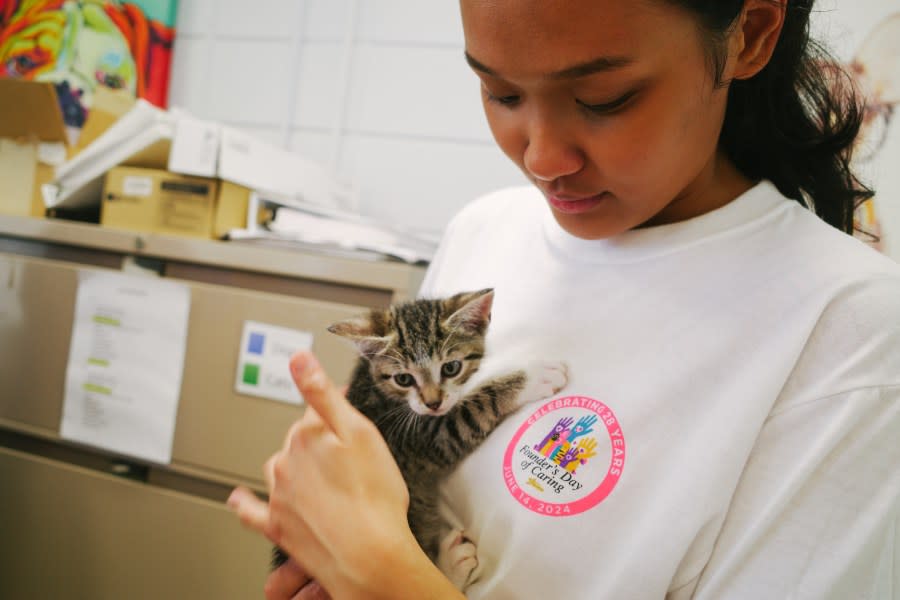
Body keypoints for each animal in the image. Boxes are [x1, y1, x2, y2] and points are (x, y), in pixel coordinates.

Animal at [276, 288, 568, 588]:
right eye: (403, 379)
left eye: (451, 368)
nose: (433, 403)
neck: (378, 388)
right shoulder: (425, 439)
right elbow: (475, 408)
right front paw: (532, 376)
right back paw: (453, 565)